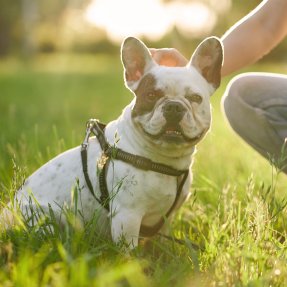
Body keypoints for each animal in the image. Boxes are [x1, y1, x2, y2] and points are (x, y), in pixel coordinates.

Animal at [2, 37, 224, 250]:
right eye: (151, 95)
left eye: (195, 98)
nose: (174, 107)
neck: (162, 160)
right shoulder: (127, 217)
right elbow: (129, 252)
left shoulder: (165, 218)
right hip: (47, 217)